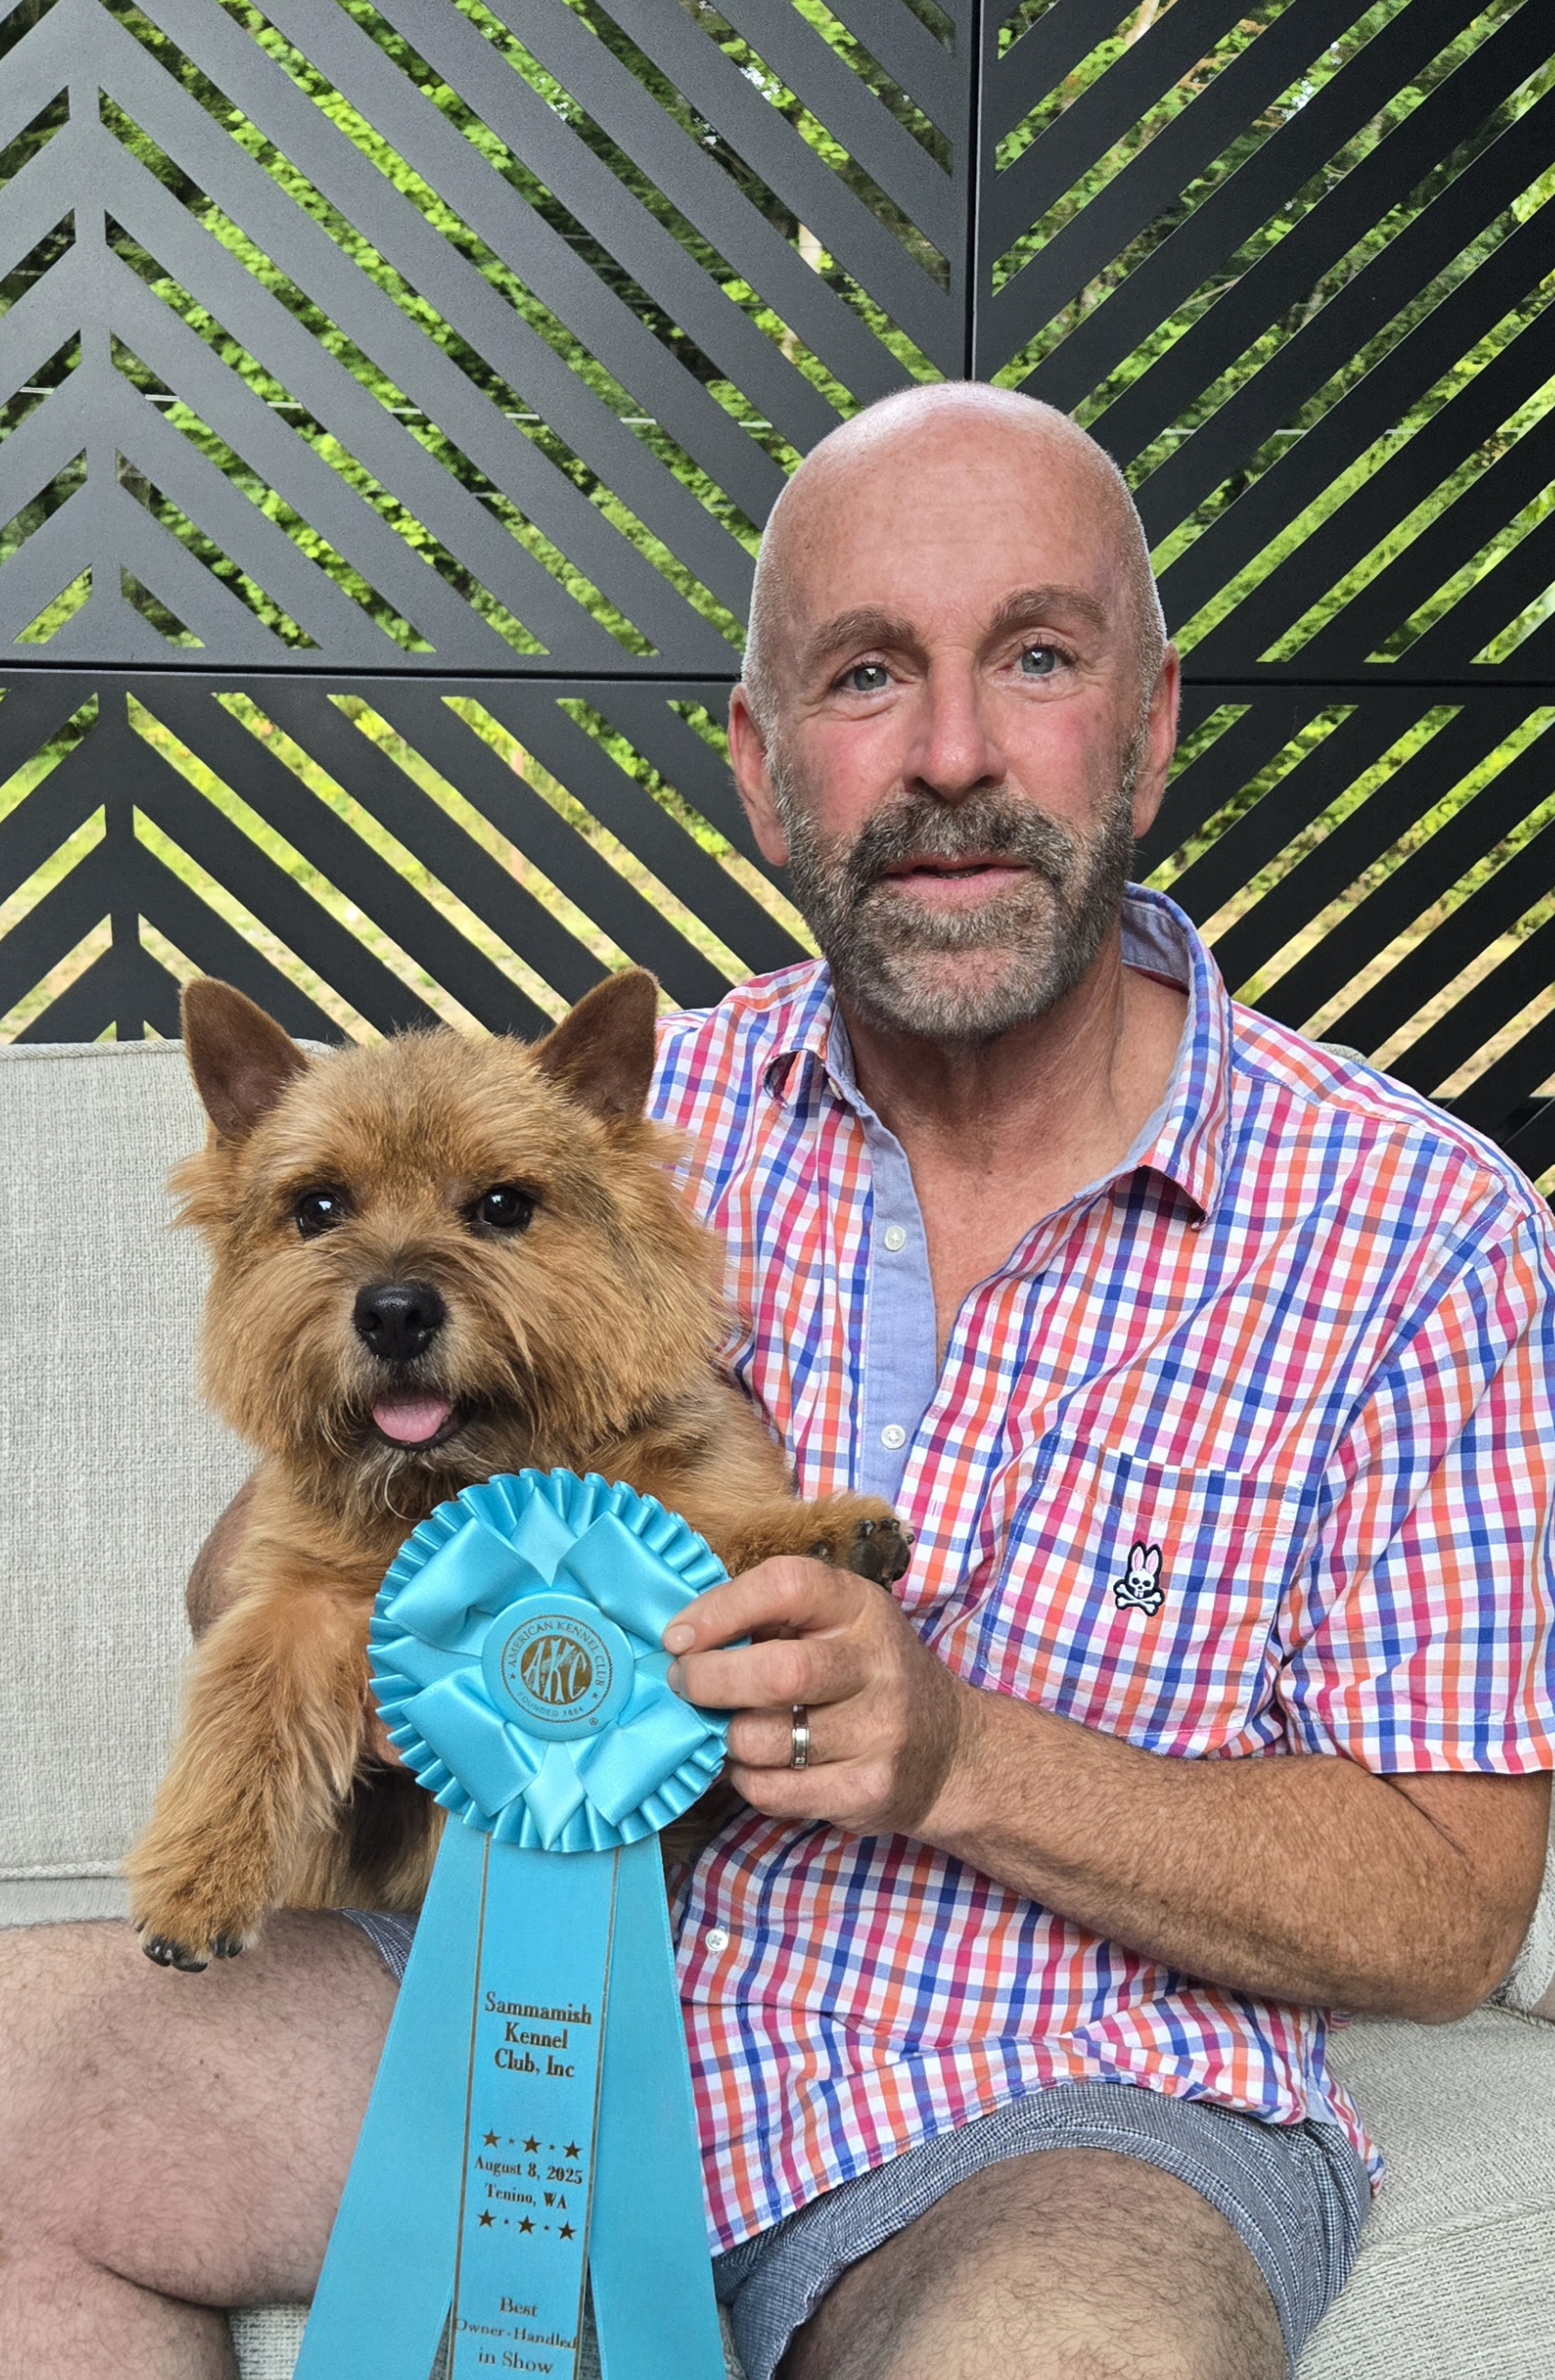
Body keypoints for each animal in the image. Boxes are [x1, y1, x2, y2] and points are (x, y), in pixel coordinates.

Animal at [125, 969, 911, 1970]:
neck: (466, 1475)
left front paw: (823, 1535)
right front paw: (199, 1879)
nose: (393, 1312)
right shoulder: (298, 1596)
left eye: (502, 1206)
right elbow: (247, 1696)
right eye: (318, 1208)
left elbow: (706, 1530)